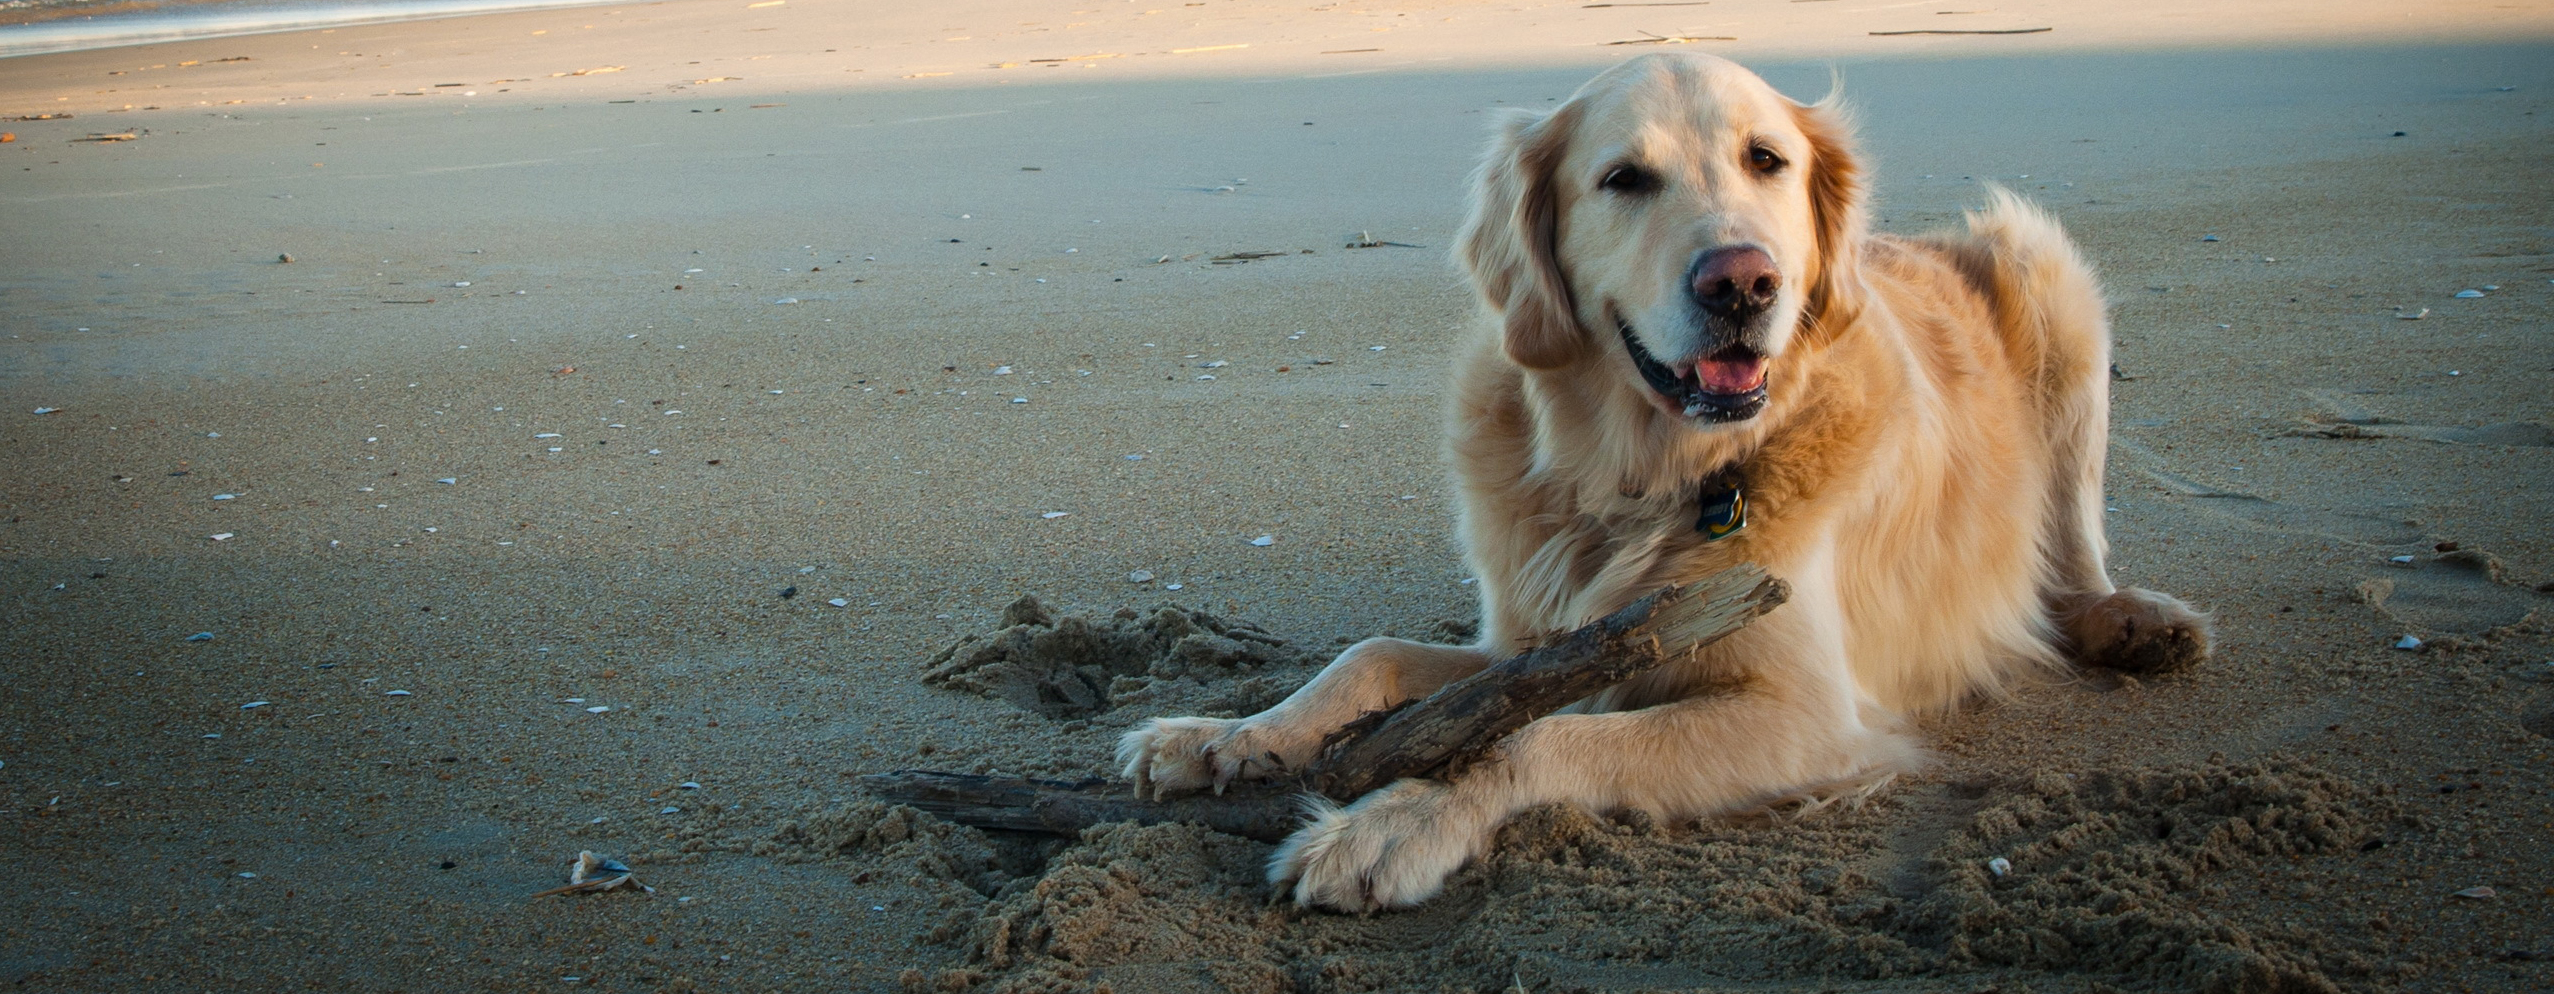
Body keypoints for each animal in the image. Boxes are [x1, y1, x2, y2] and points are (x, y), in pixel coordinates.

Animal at [1118, 52, 2216, 904]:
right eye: (1623, 178)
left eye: (1766, 159)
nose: (1742, 282)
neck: (1645, 477)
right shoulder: (1529, 643)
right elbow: (1370, 656)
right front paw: (1224, 735)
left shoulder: (1805, 714)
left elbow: (1534, 739)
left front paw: (1390, 826)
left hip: (2048, 274)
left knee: (2070, 547)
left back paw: (2131, 619)